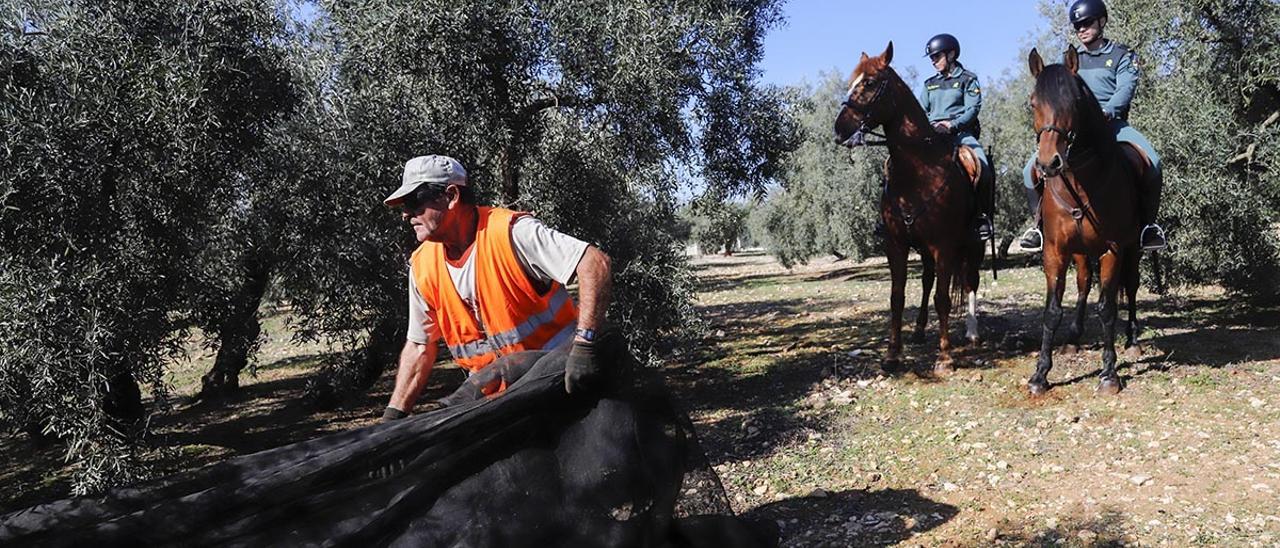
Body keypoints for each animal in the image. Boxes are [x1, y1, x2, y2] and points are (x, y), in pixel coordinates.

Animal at [829, 42, 988, 373]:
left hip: (972, 244)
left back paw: (971, 332)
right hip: (926, 250)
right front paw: (892, 354)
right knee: (927, 280)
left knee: (970, 281)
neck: (919, 169)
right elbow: (898, 296)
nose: (839, 130)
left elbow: (943, 298)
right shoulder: (897, 244)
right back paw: (919, 330)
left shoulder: (944, 245)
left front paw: (945, 357)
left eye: (870, 83)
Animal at [1024, 47, 1146, 396]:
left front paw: (1109, 374)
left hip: (1134, 248)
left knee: (1131, 286)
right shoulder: (1054, 251)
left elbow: (1107, 308)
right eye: (1032, 103)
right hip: (1079, 252)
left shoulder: (1112, 250)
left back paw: (1132, 339)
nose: (1048, 163)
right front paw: (1040, 375)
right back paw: (1074, 338)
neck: (1080, 183)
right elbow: (1052, 311)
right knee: (1083, 283)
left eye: (1074, 102)